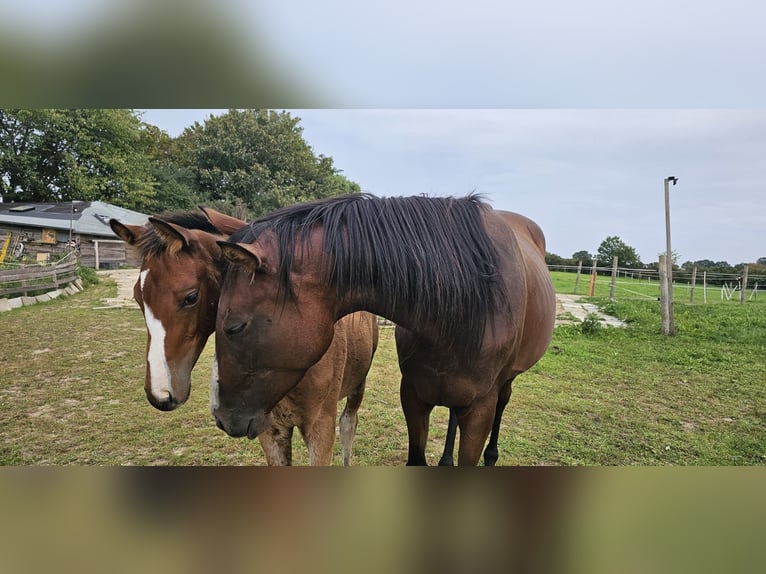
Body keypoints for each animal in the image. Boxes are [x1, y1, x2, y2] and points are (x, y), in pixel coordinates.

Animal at [109, 212, 380, 468]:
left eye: (191, 297)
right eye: (137, 297)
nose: (160, 394)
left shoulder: (320, 429)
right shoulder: (270, 429)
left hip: (358, 386)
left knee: (349, 424)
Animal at [213, 196, 556, 466]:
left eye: (235, 327)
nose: (221, 417)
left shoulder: (479, 408)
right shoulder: (413, 396)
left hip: (503, 385)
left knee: (503, 402)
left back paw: (492, 456)